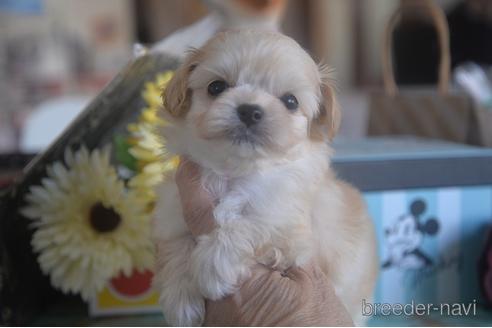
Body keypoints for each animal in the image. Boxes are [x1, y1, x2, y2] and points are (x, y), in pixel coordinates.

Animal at [153, 30, 376, 326]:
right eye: (216, 87)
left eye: (291, 101)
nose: (249, 110)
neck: (235, 172)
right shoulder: (174, 213)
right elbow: (176, 246)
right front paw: (181, 301)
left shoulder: (293, 232)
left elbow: (250, 224)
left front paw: (213, 266)